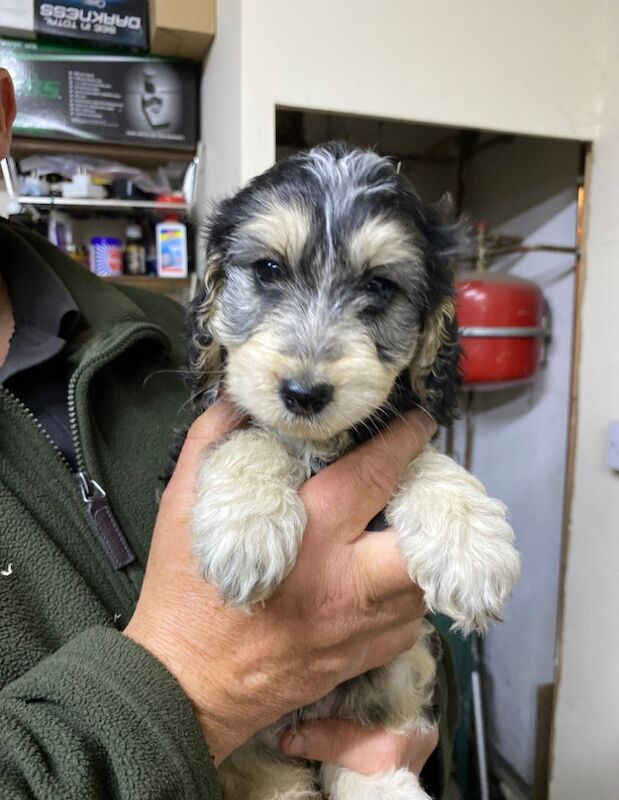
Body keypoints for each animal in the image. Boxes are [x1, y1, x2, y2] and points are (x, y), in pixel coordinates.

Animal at [186, 144, 520, 800]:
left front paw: (470, 546)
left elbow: (422, 457)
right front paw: (246, 531)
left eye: (379, 286)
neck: (322, 443)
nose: (304, 392)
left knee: (367, 744)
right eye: (268, 269)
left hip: (400, 668)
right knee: (266, 773)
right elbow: (251, 435)